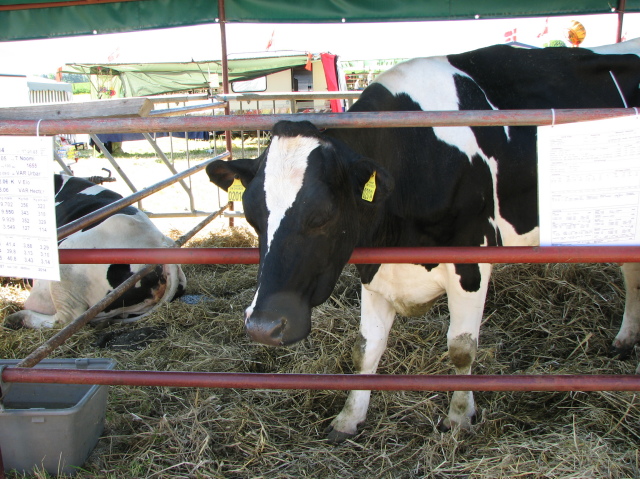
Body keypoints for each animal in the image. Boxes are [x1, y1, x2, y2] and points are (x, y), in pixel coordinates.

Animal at [205, 39, 640, 443]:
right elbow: (366, 348)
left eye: (323, 214)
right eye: (251, 215)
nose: (263, 326)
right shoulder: (374, 267)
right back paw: (625, 340)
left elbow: (461, 348)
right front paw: (349, 417)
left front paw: (459, 417)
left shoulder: (472, 262)